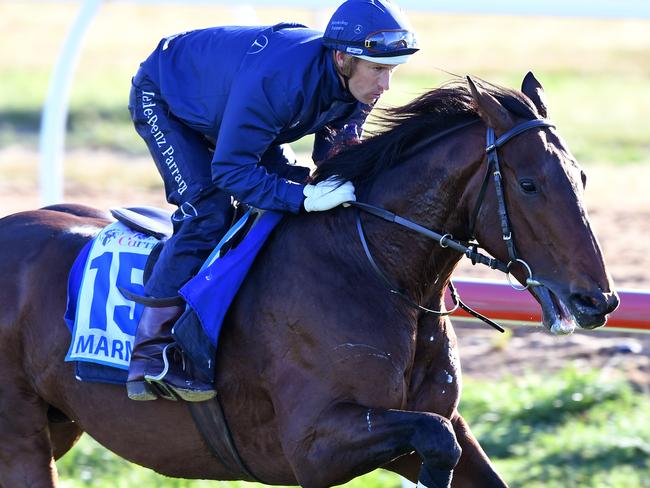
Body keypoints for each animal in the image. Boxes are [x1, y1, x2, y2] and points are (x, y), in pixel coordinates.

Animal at [0, 73, 616, 488]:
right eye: (531, 184)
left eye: (583, 177)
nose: (599, 300)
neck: (374, 269)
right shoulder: (314, 446)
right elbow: (433, 442)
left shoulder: (439, 420)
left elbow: (452, 446)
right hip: (21, 441)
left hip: (60, 423)